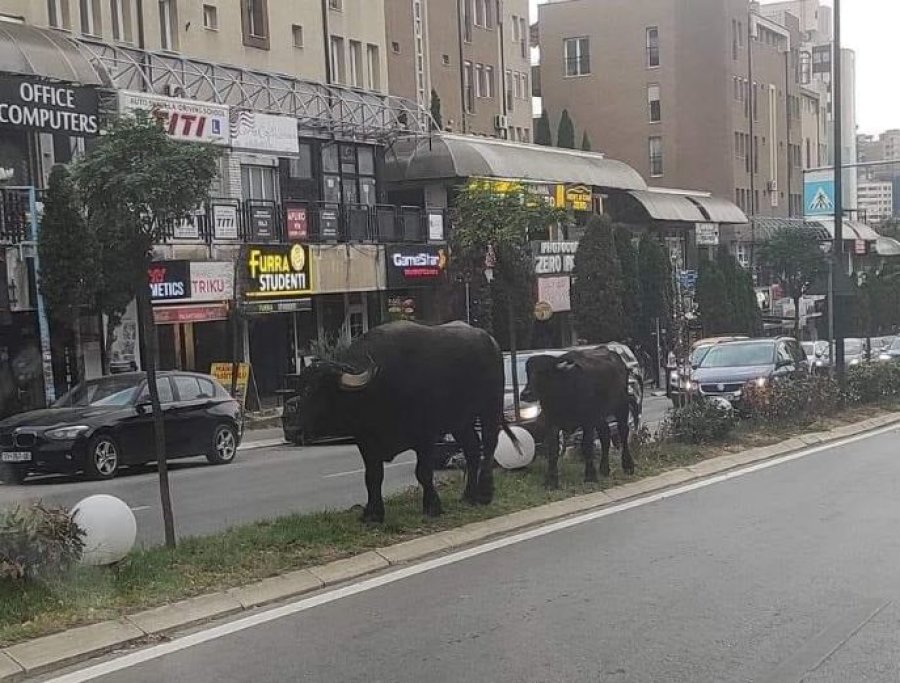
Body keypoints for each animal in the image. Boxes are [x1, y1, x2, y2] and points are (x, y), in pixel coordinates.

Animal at [294, 320, 510, 524]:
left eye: (316, 389)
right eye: (301, 386)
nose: (296, 428)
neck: (377, 388)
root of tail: (492, 342)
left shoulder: (426, 437)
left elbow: (423, 472)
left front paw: (432, 507)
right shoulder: (366, 442)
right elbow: (372, 476)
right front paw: (372, 514)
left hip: (490, 408)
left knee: (489, 445)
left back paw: (484, 494)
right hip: (460, 422)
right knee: (472, 450)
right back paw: (468, 496)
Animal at [520, 350, 632, 488]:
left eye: (544, 372)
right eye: (528, 372)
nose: (526, 394)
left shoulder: (588, 422)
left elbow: (587, 446)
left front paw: (590, 476)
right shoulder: (551, 423)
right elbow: (553, 450)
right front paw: (551, 480)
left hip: (622, 405)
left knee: (623, 432)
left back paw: (628, 466)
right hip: (599, 416)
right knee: (605, 435)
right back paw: (604, 469)